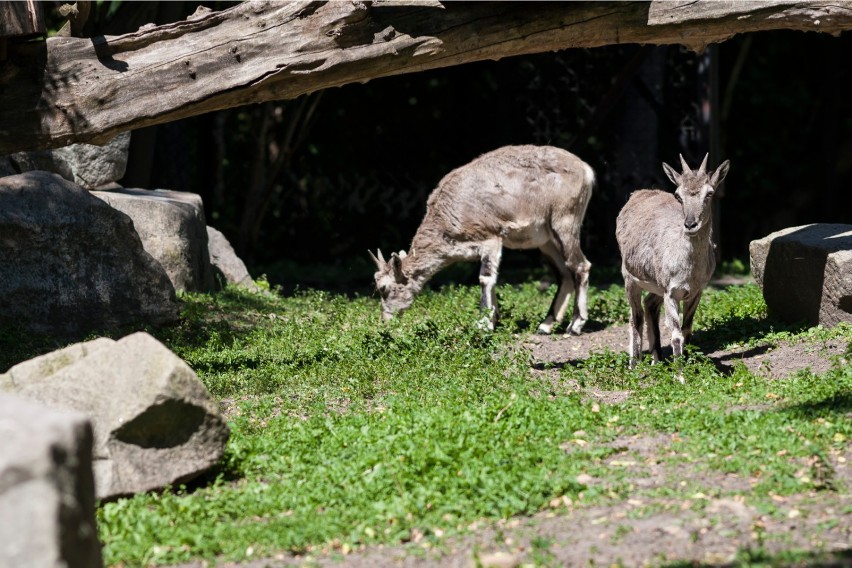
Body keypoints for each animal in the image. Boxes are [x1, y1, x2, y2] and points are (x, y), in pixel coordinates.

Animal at [370, 144, 596, 336]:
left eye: (383, 288)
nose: (385, 321)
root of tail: (585, 170)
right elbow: (493, 278)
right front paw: (494, 319)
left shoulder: (490, 238)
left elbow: (485, 278)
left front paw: (483, 325)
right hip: (546, 240)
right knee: (564, 273)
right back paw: (545, 325)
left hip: (565, 221)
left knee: (581, 265)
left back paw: (575, 325)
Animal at [616, 154, 728, 368]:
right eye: (678, 195)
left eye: (709, 193)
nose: (690, 224)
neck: (689, 271)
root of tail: (637, 194)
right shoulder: (671, 291)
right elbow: (676, 335)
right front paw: (680, 373)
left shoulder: (696, 291)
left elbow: (687, 330)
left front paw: (687, 365)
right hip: (629, 278)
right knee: (635, 317)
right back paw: (634, 363)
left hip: (656, 285)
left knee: (649, 305)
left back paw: (657, 360)